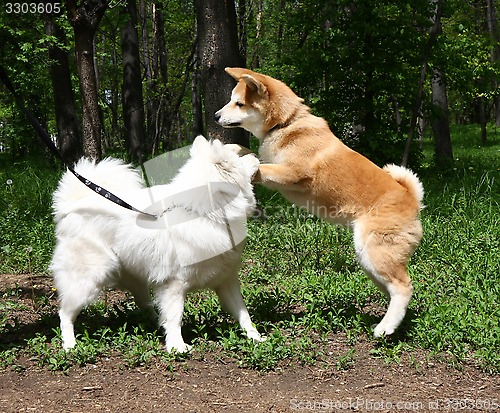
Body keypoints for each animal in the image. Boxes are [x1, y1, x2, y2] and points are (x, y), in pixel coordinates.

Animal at [50, 136, 264, 350]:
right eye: (240, 159)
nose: (255, 154)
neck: (205, 213)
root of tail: (72, 206)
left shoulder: (226, 280)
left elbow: (243, 313)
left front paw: (255, 337)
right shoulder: (174, 284)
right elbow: (175, 316)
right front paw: (177, 347)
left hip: (134, 277)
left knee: (146, 305)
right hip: (88, 279)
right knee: (65, 314)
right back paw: (70, 345)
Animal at [217, 67, 424, 336]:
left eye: (239, 103)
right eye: (232, 100)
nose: (216, 115)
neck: (286, 124)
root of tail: (412, 199)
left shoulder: (292, 173)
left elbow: (261, 167)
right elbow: (247, 151)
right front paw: (229, 149)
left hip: (376, 253)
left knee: (403, 287)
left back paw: (385, 328)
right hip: (370, 260)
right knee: (394, 289)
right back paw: (391, 324)